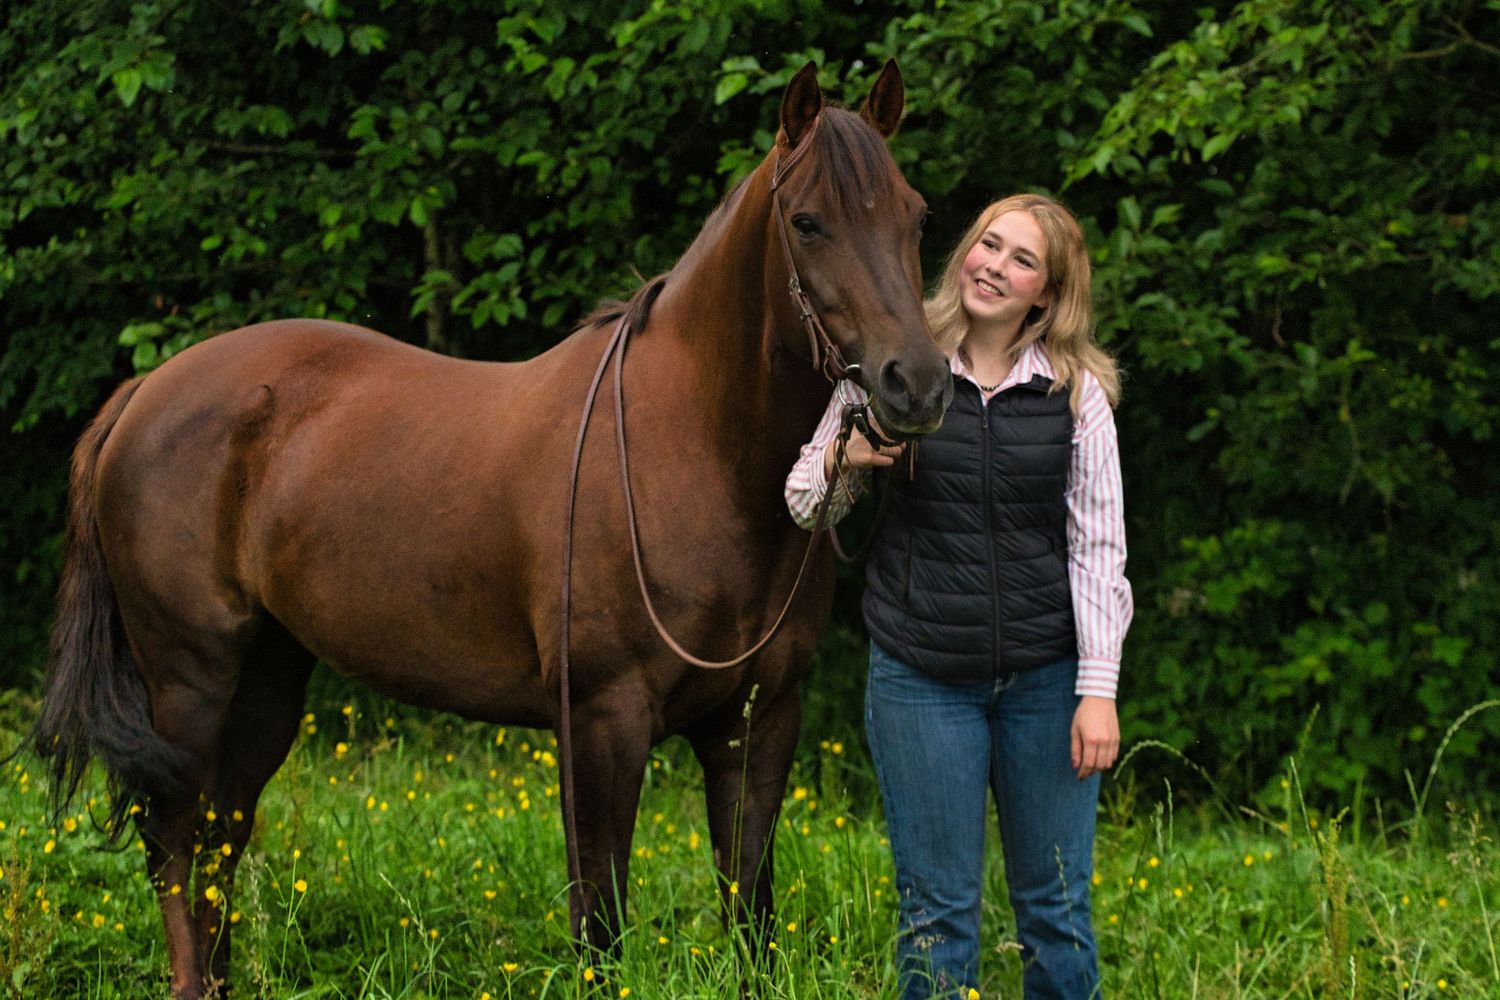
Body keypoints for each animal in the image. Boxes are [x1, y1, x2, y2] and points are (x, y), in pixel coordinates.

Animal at [29, 60, 952, 998]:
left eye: (915, 215)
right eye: (807, 221)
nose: (915, 383)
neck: (692, 451)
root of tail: (145, 392)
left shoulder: (757, 723)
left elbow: (749, 911)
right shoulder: (602, 723)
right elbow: (600, 926)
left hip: (266, 680)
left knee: (220, 838)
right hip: (187, 684)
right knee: (177, 848)